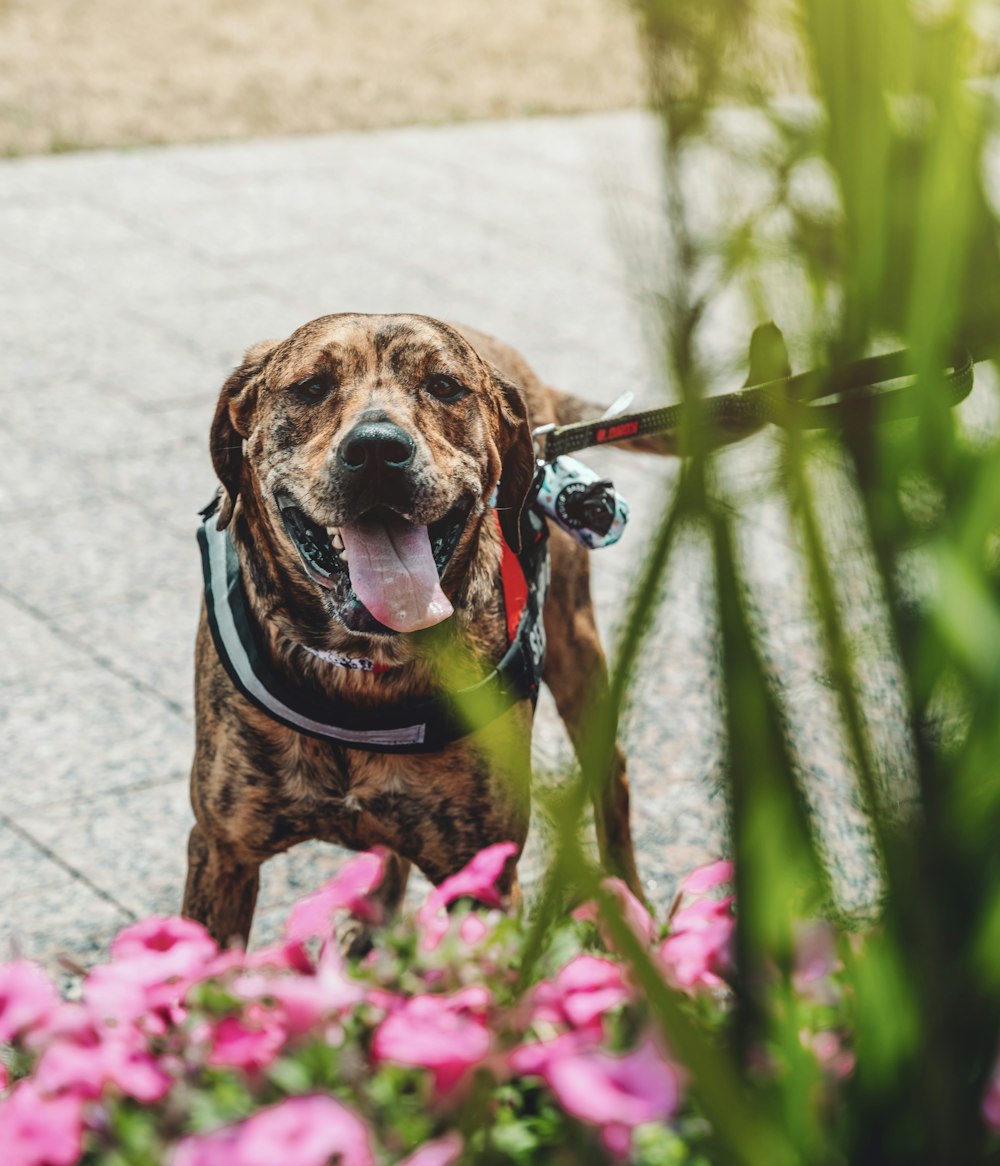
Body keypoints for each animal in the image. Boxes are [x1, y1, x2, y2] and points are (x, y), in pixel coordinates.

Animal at [182, 312, 648, 946]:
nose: (378, 449)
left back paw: (633, 913)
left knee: (614, 774)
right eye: (311, 387)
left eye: (445, 386)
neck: (364, 668)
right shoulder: (221, 852)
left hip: (575, 648)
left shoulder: (486, 882)